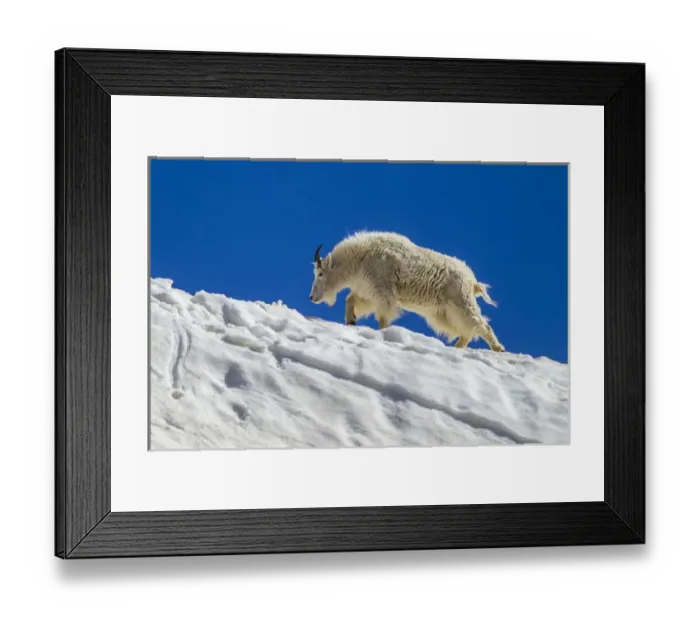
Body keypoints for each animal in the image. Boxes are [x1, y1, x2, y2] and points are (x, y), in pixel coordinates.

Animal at [308, 231, 505, 351]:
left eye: (320, 273)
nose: (312, 297)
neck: (359, 259)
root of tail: (472, 281)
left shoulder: (383, 294)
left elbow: (383, 318)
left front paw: (384, 334)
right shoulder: (369, 293)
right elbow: (350, 300)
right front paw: (351, 321)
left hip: (461, 304)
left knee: (481, 325)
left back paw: (498, 349)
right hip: (442, 313)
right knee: (467, 331)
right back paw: (457, 348)